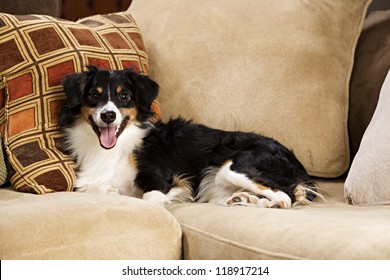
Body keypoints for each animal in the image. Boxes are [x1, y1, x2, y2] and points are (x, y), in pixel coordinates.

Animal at [58, 65, 320, 209]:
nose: (108, 115)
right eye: (94, 95)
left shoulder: (163, 179)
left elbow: (146, 199)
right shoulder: (89, 184)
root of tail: (298, 164)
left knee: (285, 196)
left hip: (234, 167)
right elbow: (96, 190)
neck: (112, 150)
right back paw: (243, 199)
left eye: (124, 97)